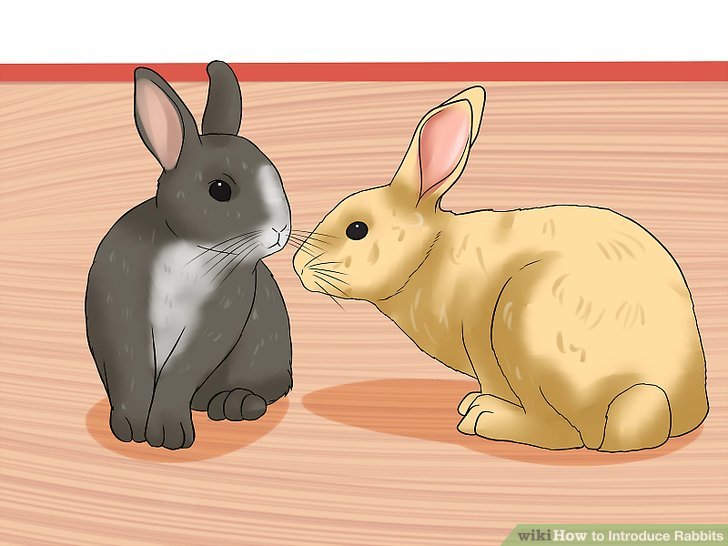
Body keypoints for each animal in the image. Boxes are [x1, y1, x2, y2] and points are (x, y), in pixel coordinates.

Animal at [85, 61, 293, 450]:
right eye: (220, 189)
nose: (280, 231)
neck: (189, 248)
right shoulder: (119, 313)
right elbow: (129, 372)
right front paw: (130, 430)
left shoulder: (214, 322)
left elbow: (181, 373)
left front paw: (167, 434)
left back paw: (235, 403)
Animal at [293, 86, 709, 451]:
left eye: (357, 229)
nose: (298, 266)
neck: (430, 253)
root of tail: (669, 399)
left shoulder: (481, 342)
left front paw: (478, 405)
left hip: (524, 327)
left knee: (566, 434)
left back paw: (485, 418)